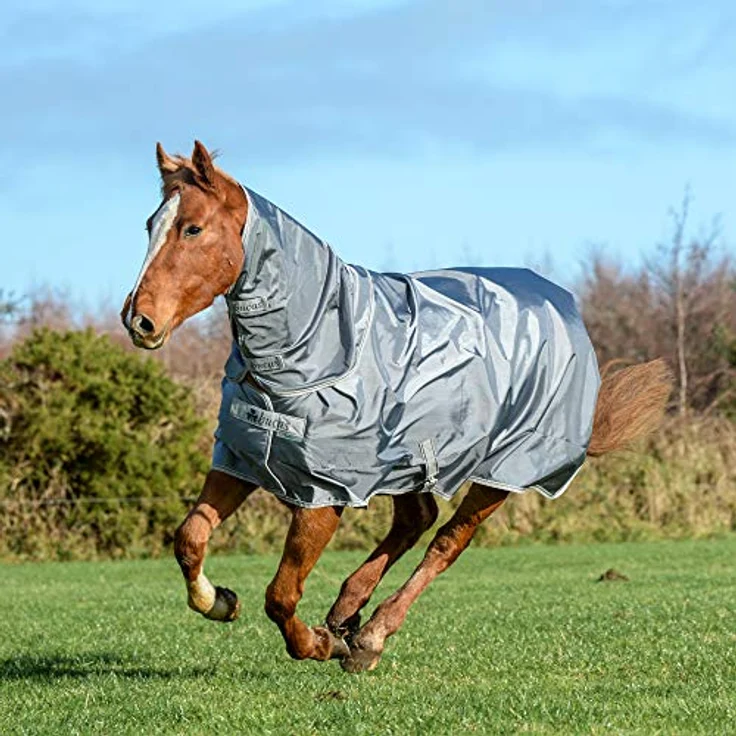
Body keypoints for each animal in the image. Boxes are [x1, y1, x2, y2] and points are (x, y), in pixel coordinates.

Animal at [121, 141, 671, 673]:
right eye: (150, 225)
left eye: (193, 228)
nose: (138, 320)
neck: (317, 344)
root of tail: (564, 308)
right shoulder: (242, 459)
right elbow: (189, 538)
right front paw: (221, 601)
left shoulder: (324, 495)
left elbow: (280, 596)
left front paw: (318, 644)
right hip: (409, 462)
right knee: (417, 519)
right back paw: (348, 612)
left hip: (501, 472)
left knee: (447, 541)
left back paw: (369, 636)